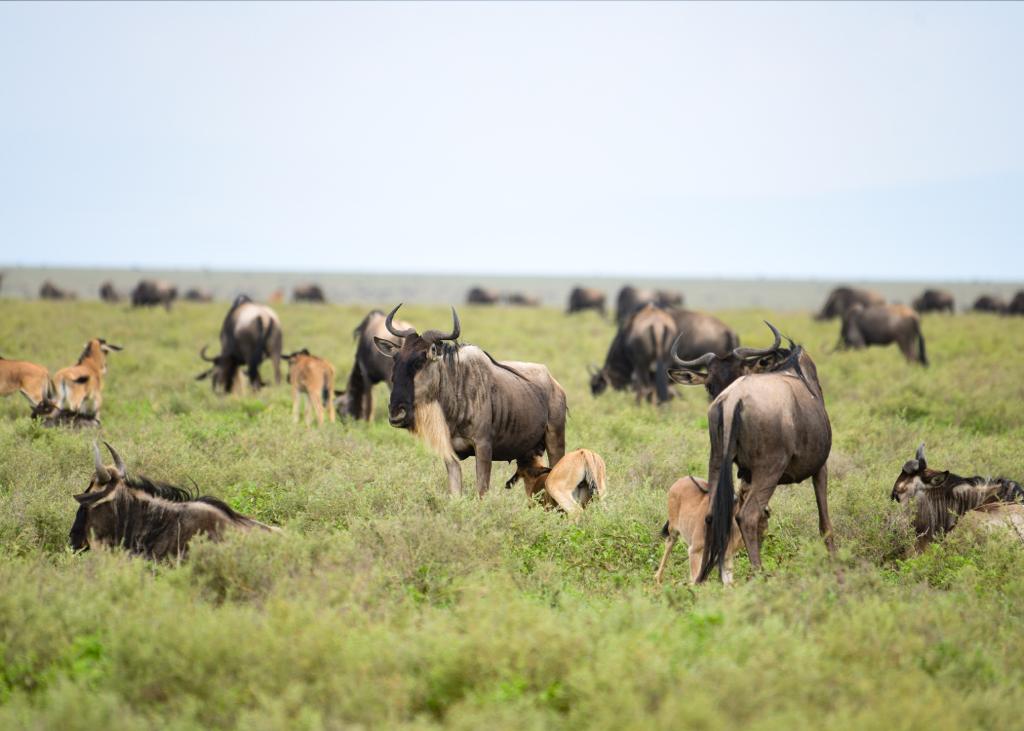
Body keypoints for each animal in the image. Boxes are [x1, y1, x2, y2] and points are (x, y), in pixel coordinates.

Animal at [376, 304, 567, 496]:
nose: (396, 414)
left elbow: (482, 490)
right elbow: (455, 493)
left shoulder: (483, 447)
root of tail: (556, 385)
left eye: (421, 360)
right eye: (396, 359)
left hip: (555, 442)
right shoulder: (450, 454)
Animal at [669, 322, 834, 582]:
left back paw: (703, 577)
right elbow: (824, 522)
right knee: (747, 516)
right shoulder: (820, 467)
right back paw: (759, 573)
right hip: (769, 471)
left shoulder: (744, 474)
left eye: (740, 371)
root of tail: (732, 401)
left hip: (717, 462)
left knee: (712, 514)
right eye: (709, 384)